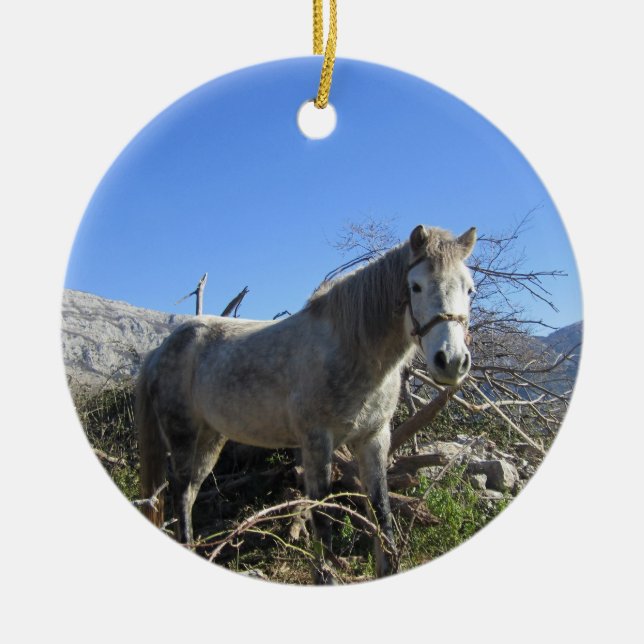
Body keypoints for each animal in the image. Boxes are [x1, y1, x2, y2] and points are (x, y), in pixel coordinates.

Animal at [136, 223, 477, 583]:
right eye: (416, 286)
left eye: (469, 289)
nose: (452, 362)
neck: (352, 349)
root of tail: (160, 349)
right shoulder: (317, 442)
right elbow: (323, 518)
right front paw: (325, 575)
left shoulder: (373, 439)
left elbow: (381, 512)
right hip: (183, 436)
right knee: (180, 492)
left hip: (211, 438)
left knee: (189, 494)